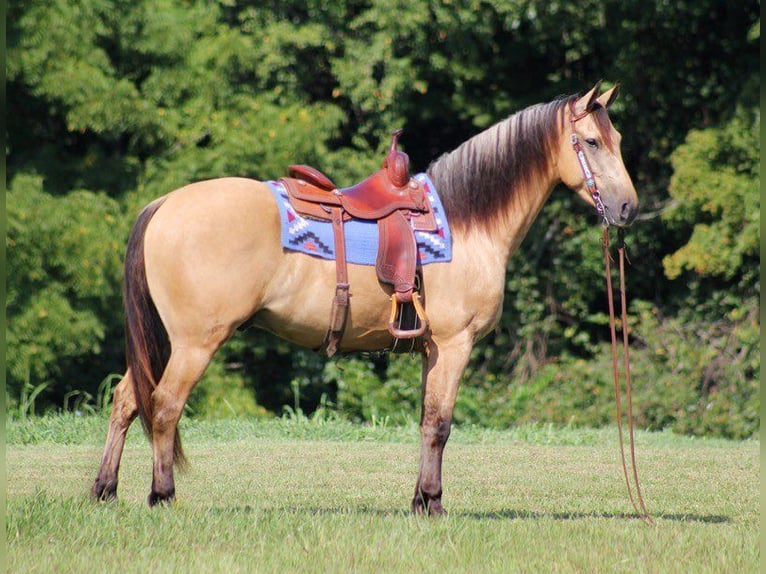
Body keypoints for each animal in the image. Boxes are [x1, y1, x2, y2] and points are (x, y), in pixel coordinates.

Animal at [91, 82, 640, 516]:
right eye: (592, 141)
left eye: (618, 140)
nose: (627, 208)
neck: (469, 222)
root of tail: (165, 203)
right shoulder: (455, 345)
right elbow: (440, 425)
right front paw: (434, 504)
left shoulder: (432, 350)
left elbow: (426, 421)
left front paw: (420, 500)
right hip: (194, 343)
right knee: (164, 406)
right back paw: (162, 495)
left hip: (166, 343)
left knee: (126, 401)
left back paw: (105, 491)